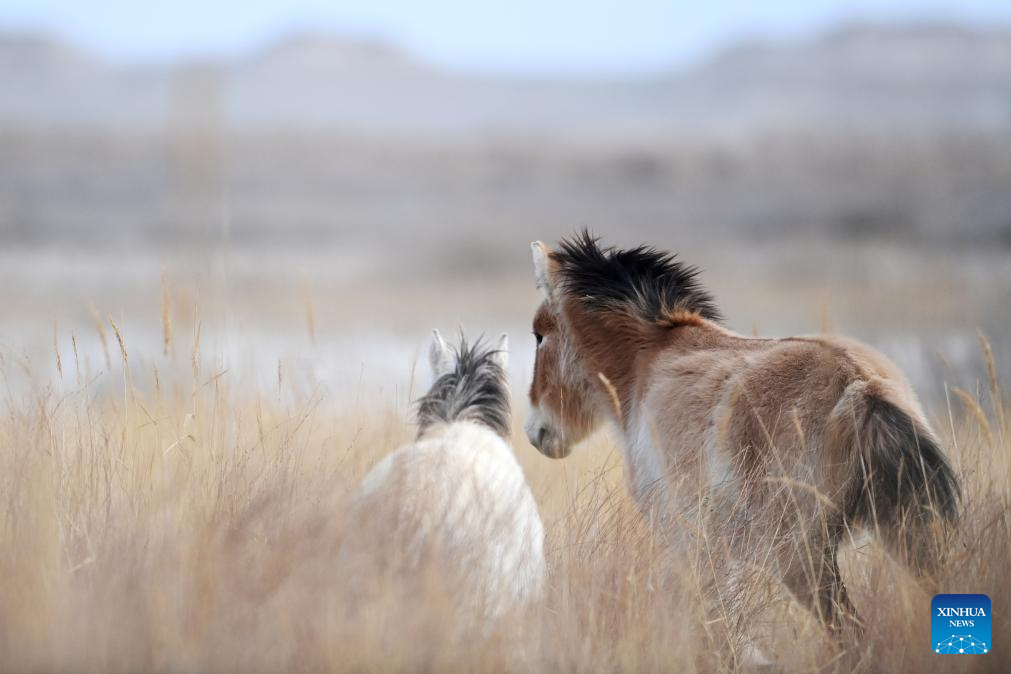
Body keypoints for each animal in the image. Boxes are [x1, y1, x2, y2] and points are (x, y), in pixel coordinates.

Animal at [523, 231, 959, 653]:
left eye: (539, 335)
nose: (536, 431)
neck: (648, 359)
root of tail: (861, 385)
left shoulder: (682, 539)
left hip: (801, 557)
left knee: (850, 635)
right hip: (908, 532)